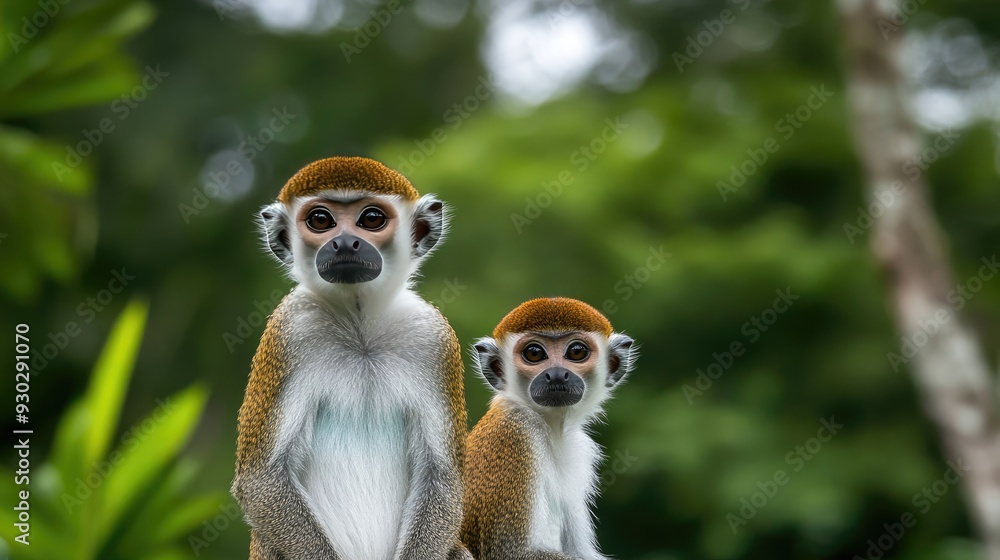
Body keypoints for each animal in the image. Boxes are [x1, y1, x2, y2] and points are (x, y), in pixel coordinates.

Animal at [231, 156, 472, 560]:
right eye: (320, 220)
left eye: (371, 218)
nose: (344, 241)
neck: (361, 331)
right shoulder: (289, 331)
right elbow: (261, 480)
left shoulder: (433, 339)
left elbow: (441, 477)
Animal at [460, 297, 637, 560]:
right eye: (534, 353)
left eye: (576, 351)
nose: (556, 375)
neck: (552, 429)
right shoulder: (515, 433)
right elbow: (512, 552)